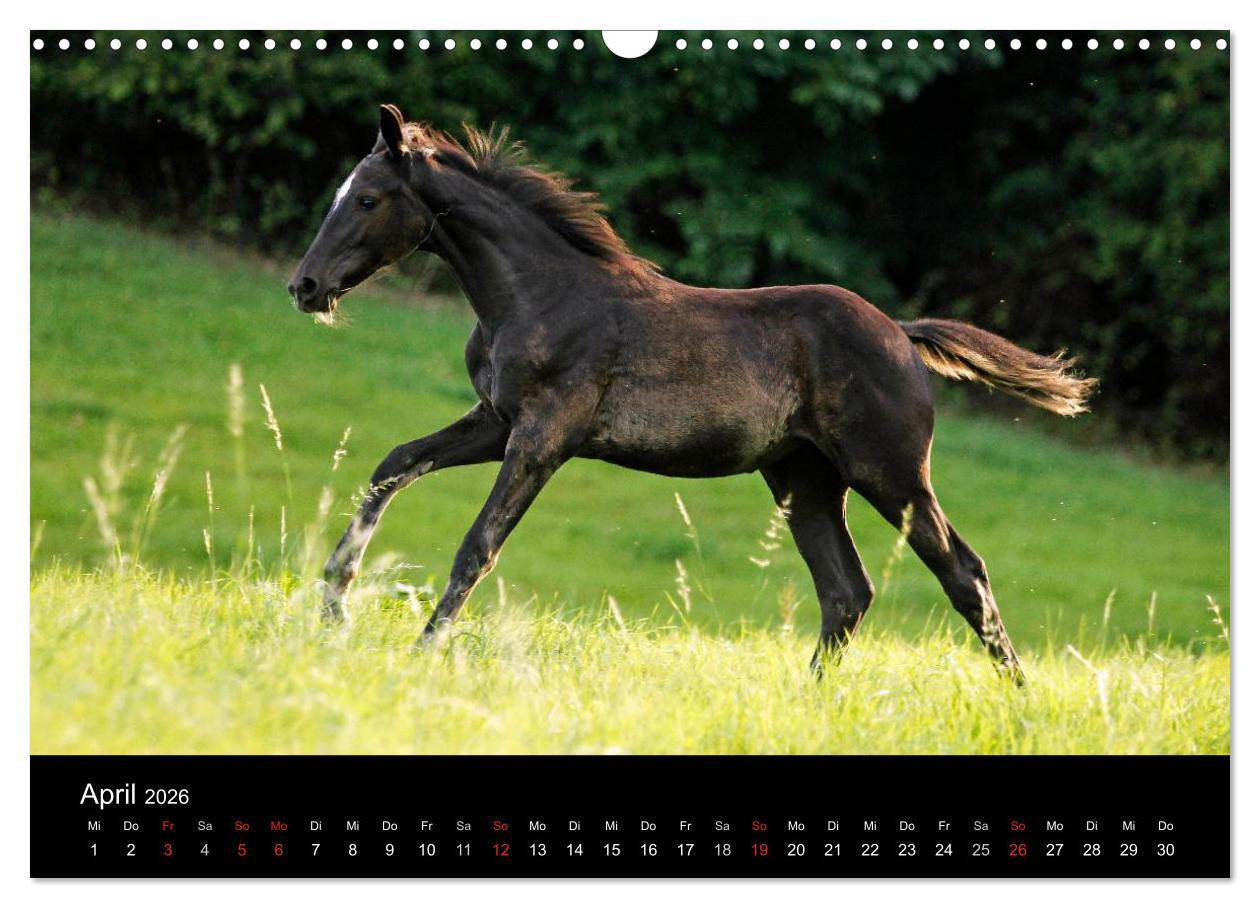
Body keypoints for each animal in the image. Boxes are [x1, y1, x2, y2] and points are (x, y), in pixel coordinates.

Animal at [288, 104, 1096, 683]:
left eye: (367, 199)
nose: (304, 285)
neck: (533, 295)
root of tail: (901, 332)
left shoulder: (543, 435)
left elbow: (477, 545)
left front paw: (420, 653)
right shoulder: (496, 421)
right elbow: (394, 463)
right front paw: (333, 604)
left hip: (889, 473)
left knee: (963, 572)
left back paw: (1021, 701)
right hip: (803, 477)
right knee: (847, 590)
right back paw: (807, 699)